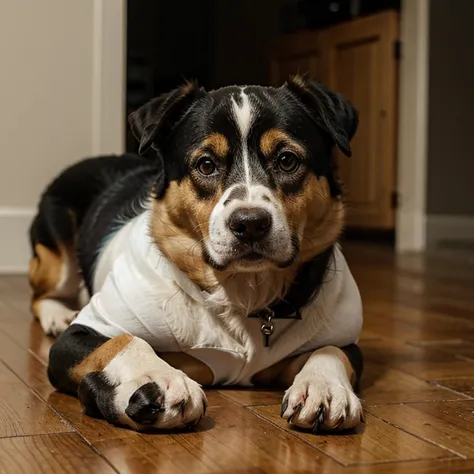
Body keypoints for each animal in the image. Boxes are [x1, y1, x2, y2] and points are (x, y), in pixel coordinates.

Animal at [28, 75, 362, 434]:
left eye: (287, 160)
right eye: (206, 164)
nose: (250, 224)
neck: (243, 291)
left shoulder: (344, 341)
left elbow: (331, 349)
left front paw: (324, 388)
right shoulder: (80, 336)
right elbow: (124, 340)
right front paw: (160, 377)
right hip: (56, 256)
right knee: (41, 294)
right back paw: (57, 314)